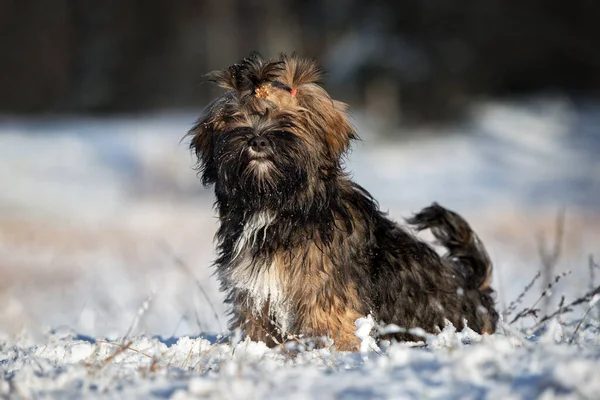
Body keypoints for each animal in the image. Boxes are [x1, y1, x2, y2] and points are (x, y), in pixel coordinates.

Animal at [188, 53, 496, 350]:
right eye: (238, 118)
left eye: (287, 119)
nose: (258, 141)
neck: (277, 204)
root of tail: (474, 287)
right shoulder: (255, 299)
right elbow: (257, 328)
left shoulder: (325, 296)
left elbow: (331, 329)